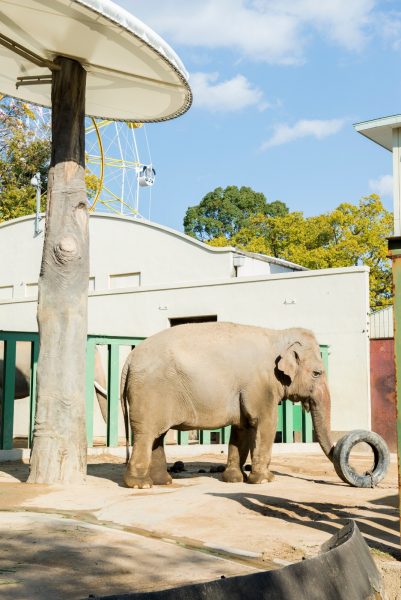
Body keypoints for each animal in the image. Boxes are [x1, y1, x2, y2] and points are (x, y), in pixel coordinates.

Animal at [120, 324, 332, 488]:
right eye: (317, 373)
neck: (278, 335)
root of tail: (130, 358)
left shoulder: (245, 392)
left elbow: (242, 427)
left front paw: (235, 479)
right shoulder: (260, 385)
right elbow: (265, 423)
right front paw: (265, 480)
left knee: (158, 435)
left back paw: (162, 481)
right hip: (150, 392)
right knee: (146, 434)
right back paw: (141, 484)